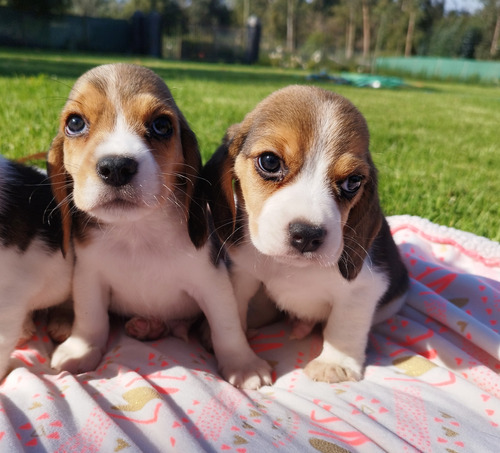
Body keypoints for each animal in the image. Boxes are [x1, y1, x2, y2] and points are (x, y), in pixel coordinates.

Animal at [48, 63, 272, 388]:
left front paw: (242, 364)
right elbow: (91, 319)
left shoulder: (212, 282)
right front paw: (81, 350)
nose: (116, 167)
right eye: (75, 123)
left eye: (162, 126)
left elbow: (226, 326)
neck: (137, 233)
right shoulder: (89, 277)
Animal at [203, 84, 410, 382]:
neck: (293, 267)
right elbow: (234, 312)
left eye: (353, 181)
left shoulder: (364, 289)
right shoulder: (242, 274)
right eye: (269, 161)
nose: (308, 235)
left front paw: (334, 365)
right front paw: (240, 358)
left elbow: (344, 327)